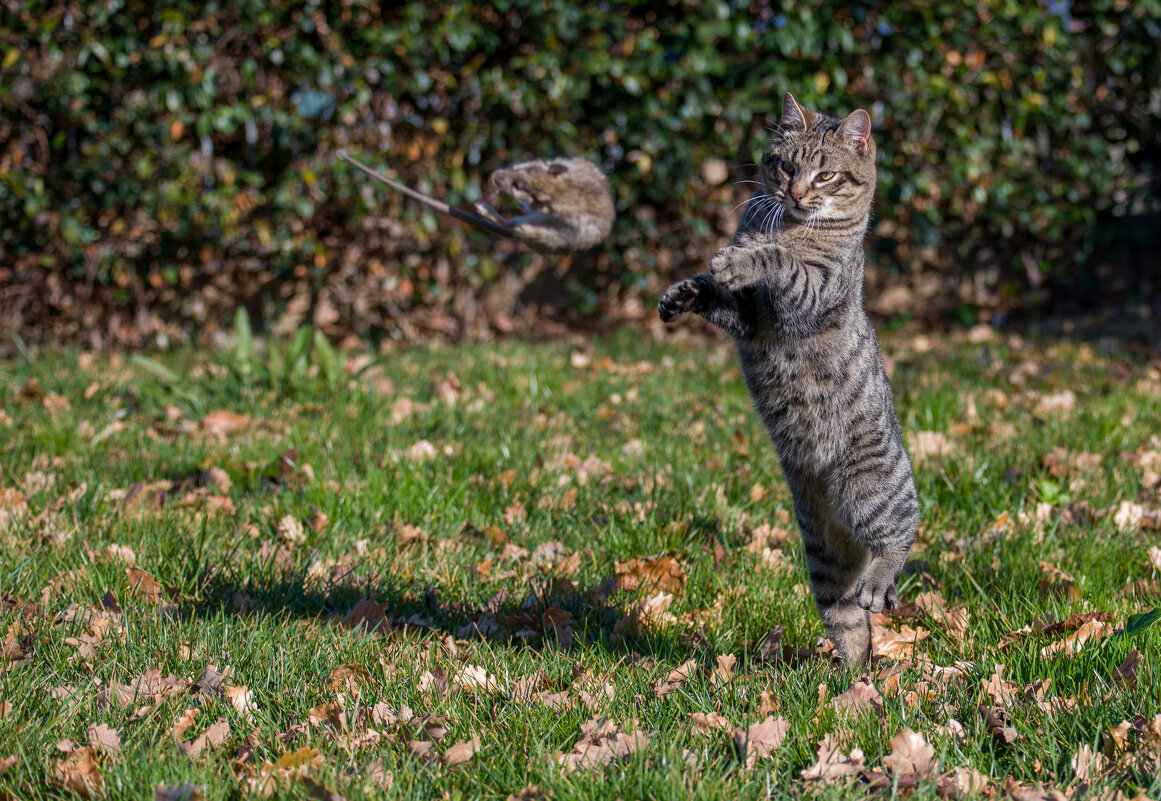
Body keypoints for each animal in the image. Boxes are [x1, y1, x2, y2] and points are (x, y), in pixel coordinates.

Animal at [664, 93, 914, 664]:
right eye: (784, 166)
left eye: (825, 175)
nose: (795, 193)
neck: (789, 225)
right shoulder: (749, 317)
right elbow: (718, 293)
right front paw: (686, 292)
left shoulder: (812, 290)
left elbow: (780, 261)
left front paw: (744, 257)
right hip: (822, 555)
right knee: (849, 625)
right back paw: (850, 679)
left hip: (870, 487)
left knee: (903, 531)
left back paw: (878, 584)